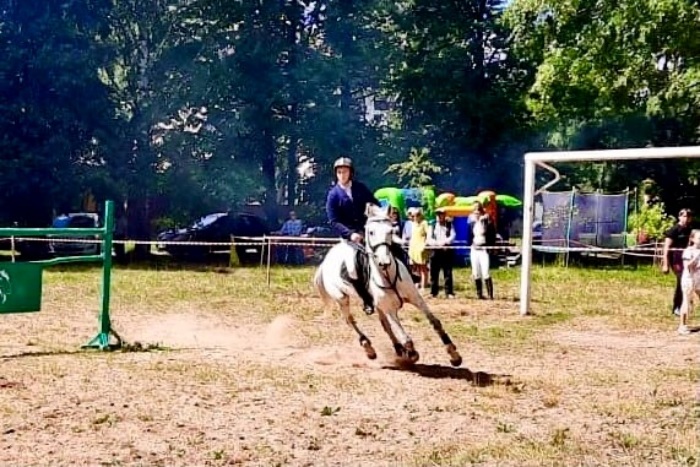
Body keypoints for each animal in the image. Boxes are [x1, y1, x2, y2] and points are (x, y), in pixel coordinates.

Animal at [314, 205, 462, 370]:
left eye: (391, 231)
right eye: (371, 232)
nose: (384, 262)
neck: (388, 275)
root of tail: (325, 261)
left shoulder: (416, 299)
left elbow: (435, 322)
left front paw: (454, 355)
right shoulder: (390, 309)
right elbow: (405, 337)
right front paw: (411, 354)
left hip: (377, 305)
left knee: (385, 325)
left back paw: (397, 349)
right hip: (342, 298)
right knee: (350, 321)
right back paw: (369, 348)